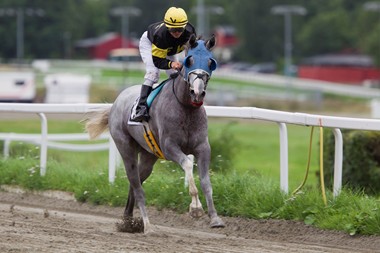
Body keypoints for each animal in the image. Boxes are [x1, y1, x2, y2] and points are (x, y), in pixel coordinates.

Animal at [84, 34, 224, 234]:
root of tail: (116, 103)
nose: (197, 93)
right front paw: (196, 208)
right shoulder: (169, 146)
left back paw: (128, 221)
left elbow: (206, 182)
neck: (185, 107)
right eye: (189, 61)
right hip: (126, 148)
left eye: (211, 62)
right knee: (136, 185)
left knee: (136, 183)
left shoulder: (203, 147)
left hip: (149, 156)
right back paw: (147, 225)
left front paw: (215, 218)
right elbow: (188, 164)